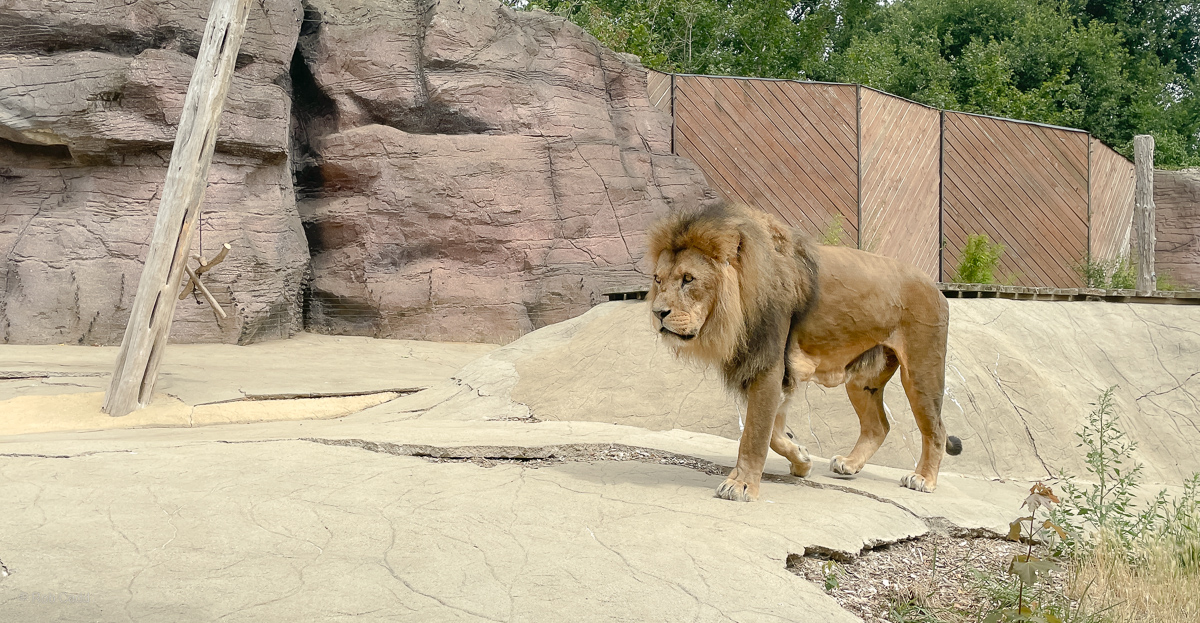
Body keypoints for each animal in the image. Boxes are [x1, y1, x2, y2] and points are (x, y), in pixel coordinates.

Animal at [647, 202, 962, 501]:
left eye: (688, 279)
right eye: (658, 280)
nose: (657, 313)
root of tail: (936, 287)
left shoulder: (768, 364)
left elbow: (755, 433)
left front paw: (742, 484)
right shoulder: (774, 370)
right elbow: (773, 432)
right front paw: (801, 458)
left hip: (921, 372)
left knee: (936, 429)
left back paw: (923, 479)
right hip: (862, 380)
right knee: (878, 426)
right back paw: (850, 463)